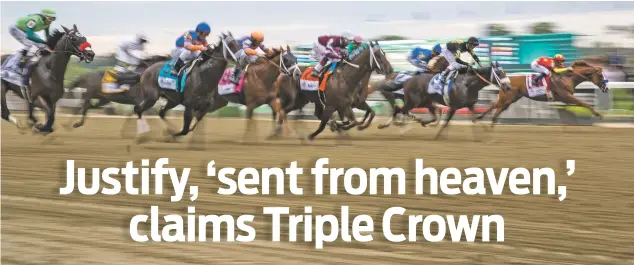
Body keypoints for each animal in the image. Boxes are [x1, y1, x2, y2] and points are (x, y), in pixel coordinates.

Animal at [478, 60, 608, 126]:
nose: (606, 88)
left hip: (512, 99)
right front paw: (599, 114)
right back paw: (480, 117)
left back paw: (492, 121)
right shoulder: (566, 96)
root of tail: (503, 81)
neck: (567, 77)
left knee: (498, 109)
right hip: (506, 97)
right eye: (601, 75)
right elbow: (584, 103)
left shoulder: (566, 98)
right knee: (494, 105)